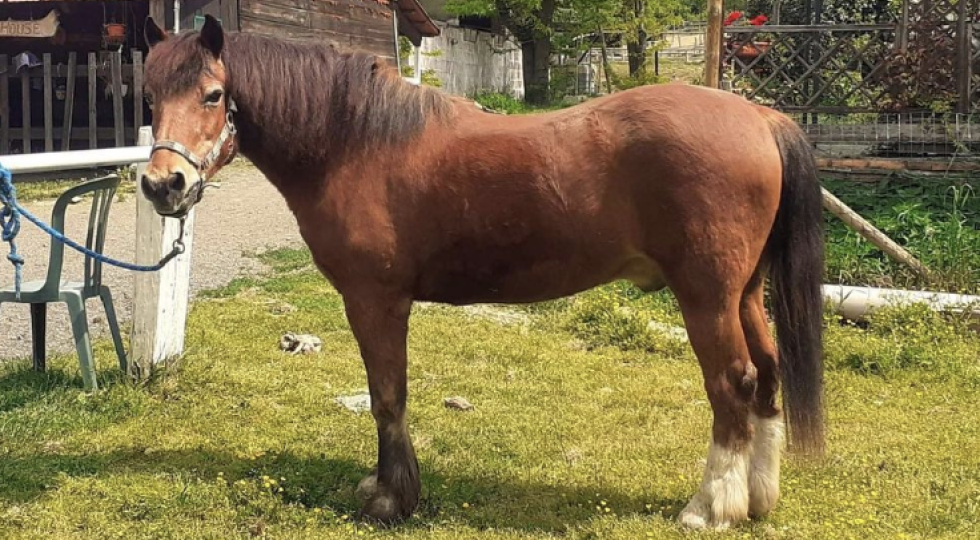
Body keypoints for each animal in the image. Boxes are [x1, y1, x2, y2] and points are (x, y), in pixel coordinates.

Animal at [139, 15, 825, 530]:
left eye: (213, 94)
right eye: (149, 97)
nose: (161, 185)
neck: (356, 143)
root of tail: (761, 118)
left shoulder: (375, 300)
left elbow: (388, 395)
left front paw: (392, 497)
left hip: (707, 297)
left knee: (732, 383)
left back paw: (711, 507)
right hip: (746, 293)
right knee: (767, 374)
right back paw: (758, 498)